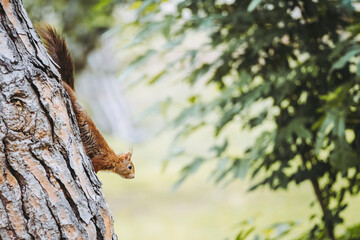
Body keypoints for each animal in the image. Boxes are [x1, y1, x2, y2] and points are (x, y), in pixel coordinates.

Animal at [36, 24, 135, 179]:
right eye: (130, 167)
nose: (133, 176)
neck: (113, 159)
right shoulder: (101, 159)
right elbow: (94, 165)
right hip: (75, 104)